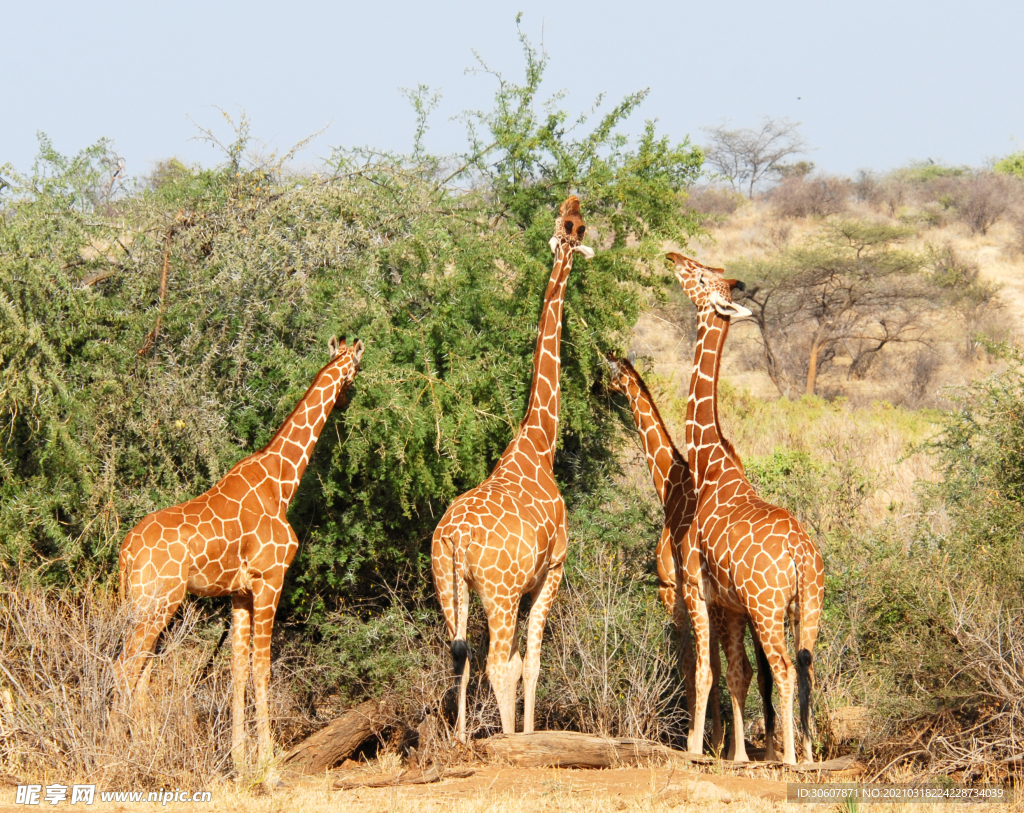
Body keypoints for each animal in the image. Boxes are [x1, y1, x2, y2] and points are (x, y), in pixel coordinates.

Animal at [117, 333, 364, 765]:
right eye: (356, 368)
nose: (347, 399)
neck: (280, 482)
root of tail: (126, 552)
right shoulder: (270, 579)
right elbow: (262, 667)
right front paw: (268, 761)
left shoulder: (239, 593)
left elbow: (236, 669)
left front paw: (238, 759)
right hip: (158, 601)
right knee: (126, 667)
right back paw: (119, 749)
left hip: (145, 602)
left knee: (141, 670)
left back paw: (145, 748)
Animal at [430, 196, 593, 741]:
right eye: (577, 226)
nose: (575, 204)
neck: (538, 442)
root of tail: (455, 538)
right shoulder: (551, 571)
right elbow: (533, 661)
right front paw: (526, 735)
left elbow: (522, 661)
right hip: (496, 593)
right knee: (495, 662)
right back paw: (500, 739)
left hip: (449, 584)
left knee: (459, 656)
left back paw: (461, 738)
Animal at [667, 249, 827, 761]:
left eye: (700, 279)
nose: (672, 255)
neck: (710, 465)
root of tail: (800, 556)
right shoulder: (733, 607)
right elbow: (737, 674)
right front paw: (736, 754)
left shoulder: (696, 589)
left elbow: (705, 673)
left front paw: (696, 749)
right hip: (809, 606)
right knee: (807, 666)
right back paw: (808, 755)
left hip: (768, 607)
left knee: (785, 669)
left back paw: (790, 758)